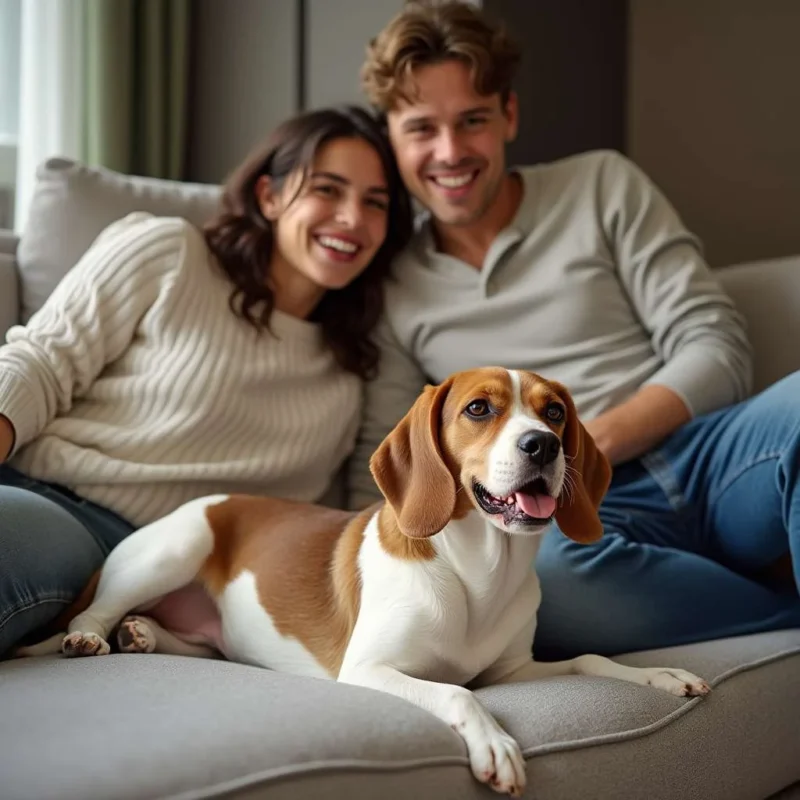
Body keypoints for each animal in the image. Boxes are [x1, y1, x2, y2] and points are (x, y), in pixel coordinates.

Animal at [17, 368, 708, 792]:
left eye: (556, 412)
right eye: (478, 409)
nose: (543, 445)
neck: (478, 573)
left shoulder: (512, 671)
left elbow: (589, 658)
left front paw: (659, 674)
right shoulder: (370, 670)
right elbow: (457, 694)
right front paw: (495, 744)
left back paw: (143, 636)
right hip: (177, 547)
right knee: (96, 612)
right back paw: (93, 637)